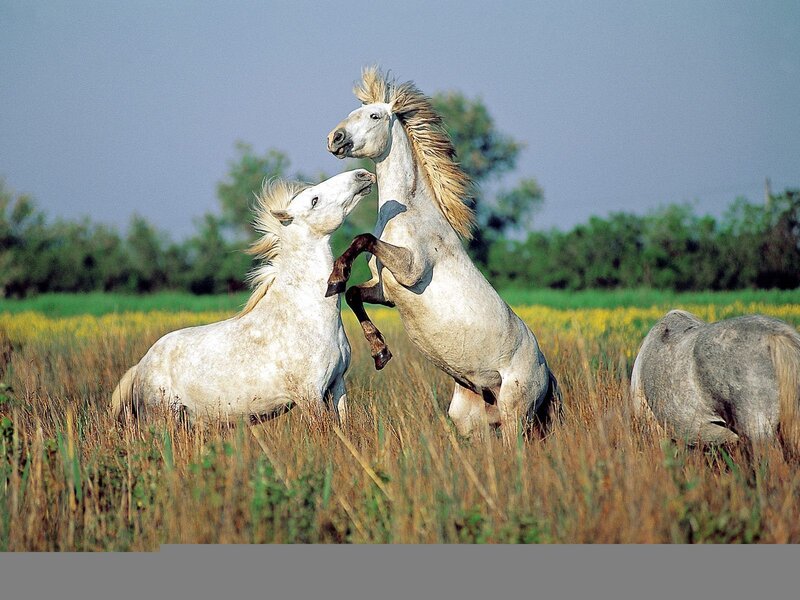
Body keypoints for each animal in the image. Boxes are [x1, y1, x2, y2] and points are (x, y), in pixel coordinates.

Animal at [111, 169, 376, 426]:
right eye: (314, 200)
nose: (362, 175)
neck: (305, 315)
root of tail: (140, 366)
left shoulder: (337, 385)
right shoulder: (309, 395)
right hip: (163, 420)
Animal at [325, 67, 560, 440]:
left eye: (375, 116)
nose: (335, 138)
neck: (410, 213)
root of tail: (547, 374)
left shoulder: (411, 270)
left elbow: (362, 239)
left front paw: (335, 275)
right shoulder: (386, 290)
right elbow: (352, 294)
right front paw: (380, 353)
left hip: (515, 414)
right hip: (472, 419)